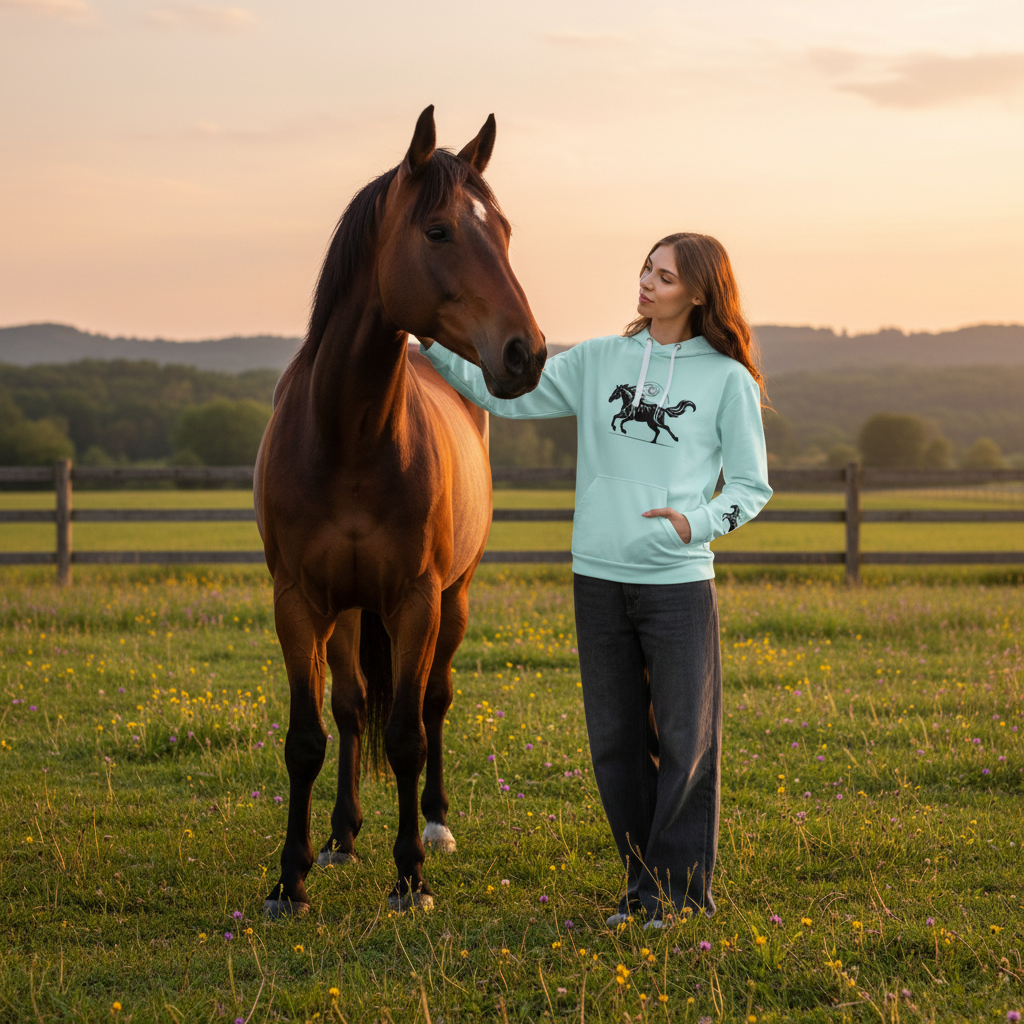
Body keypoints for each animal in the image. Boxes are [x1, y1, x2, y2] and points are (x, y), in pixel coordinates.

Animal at [253, 106, 546, 917]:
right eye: (439, 230)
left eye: (504, 229)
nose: (528, 353)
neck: (348, 436)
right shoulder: (298, 602)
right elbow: (308, 738)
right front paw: (290, 879)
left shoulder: (417, 600)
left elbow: (409, 734)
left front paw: (410, 876)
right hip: (352, 611)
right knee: (353, 709)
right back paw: (341, 837)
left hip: (455, 599)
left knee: (435, 702)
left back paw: (437, 825)